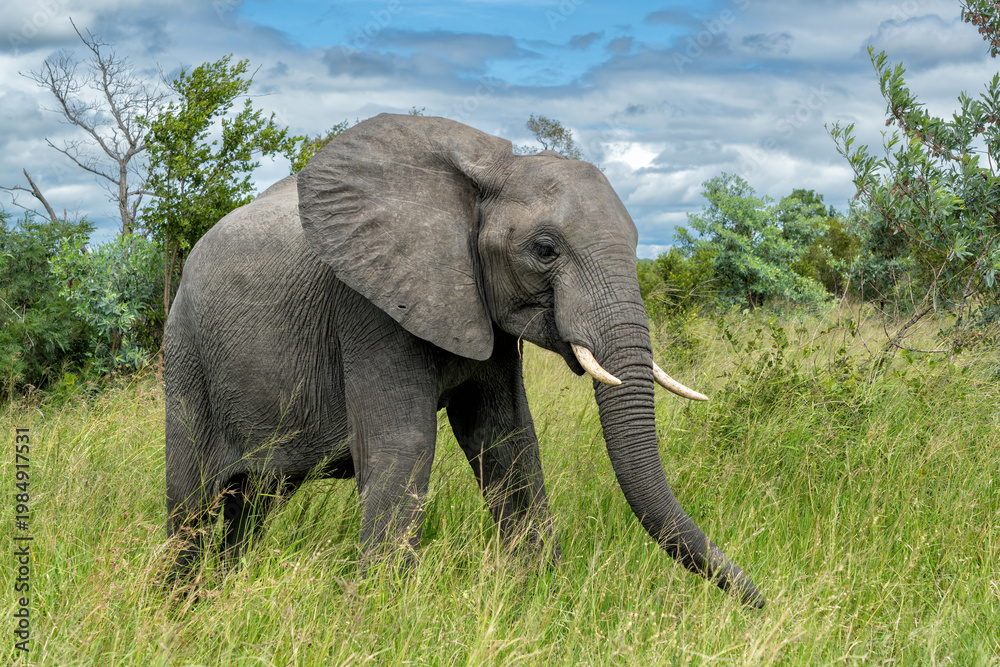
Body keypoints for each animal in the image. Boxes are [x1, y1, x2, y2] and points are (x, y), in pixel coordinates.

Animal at [164, 113, 764, 608]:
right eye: (545, 251)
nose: (761, 601)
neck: (487, 173)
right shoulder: (368, 307)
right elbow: (403, 445)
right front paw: (378, 618)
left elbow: (506, 438)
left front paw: (543, 597)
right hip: (186, 355)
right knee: (192, 503)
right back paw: (178, 607)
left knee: (249, 506)